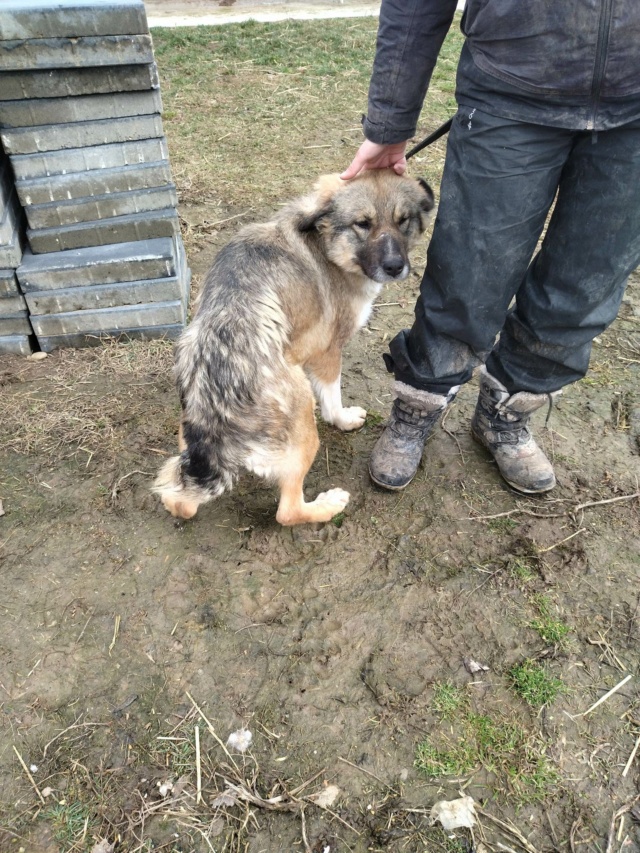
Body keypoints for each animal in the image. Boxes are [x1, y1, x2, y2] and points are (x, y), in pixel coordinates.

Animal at [154, 170, 436, 524]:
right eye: (363, 223)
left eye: (403, 221)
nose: (395, 266)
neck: (325, 243)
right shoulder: (327, 353)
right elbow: (332, 400)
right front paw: (343, 419)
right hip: (303, 410)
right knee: (287, 512)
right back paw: (329, 504)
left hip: (184, 440)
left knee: (181, 502)